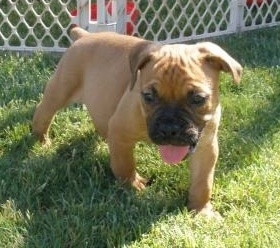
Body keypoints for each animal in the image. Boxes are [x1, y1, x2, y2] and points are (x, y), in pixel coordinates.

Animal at [32, 27, 243, 217]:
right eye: (148, 97)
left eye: (198, 99)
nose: (169, 128)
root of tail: (84, 35)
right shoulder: (120, 132)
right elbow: (124, 165)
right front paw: (133, 186)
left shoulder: (206, 147)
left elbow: (203, 183)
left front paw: (201, 210)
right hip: (60, 90)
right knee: (43, 113)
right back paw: (42, 140)